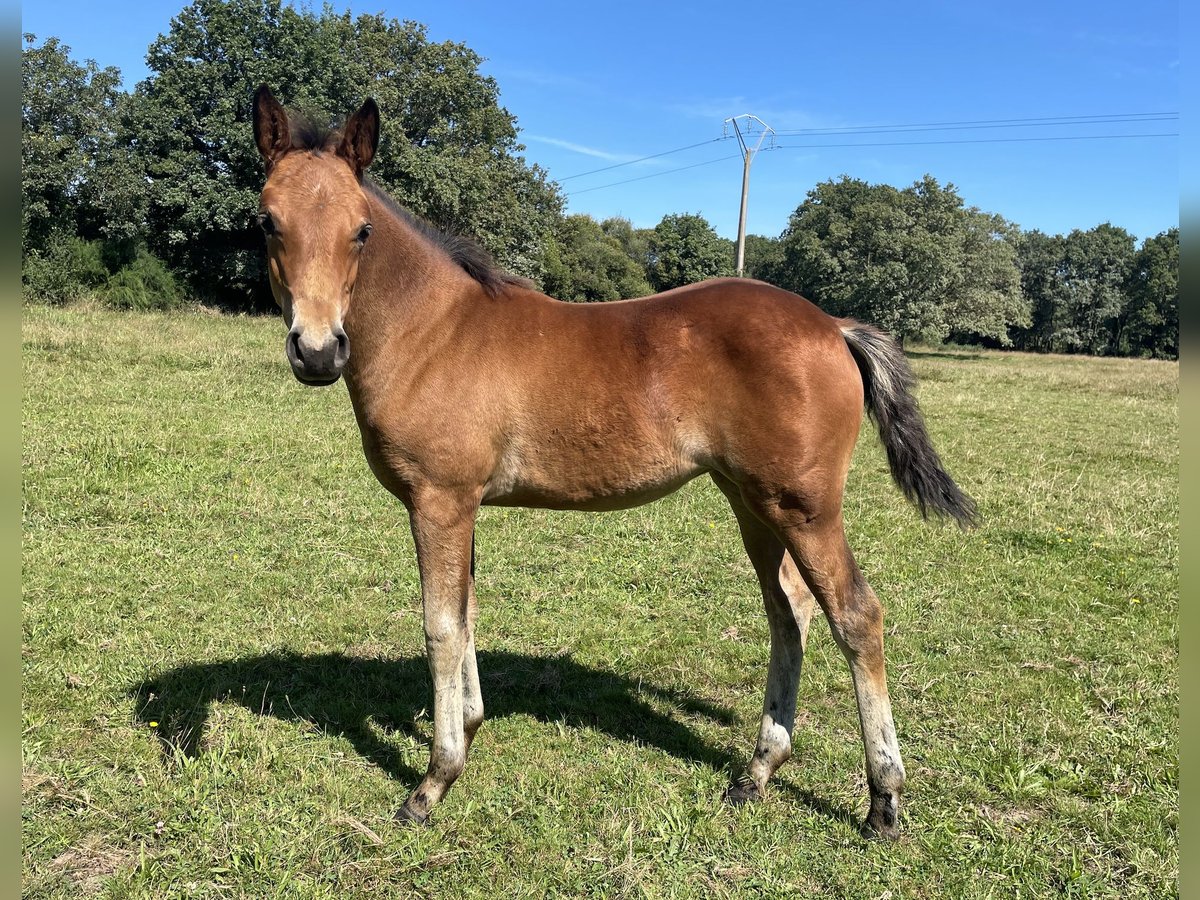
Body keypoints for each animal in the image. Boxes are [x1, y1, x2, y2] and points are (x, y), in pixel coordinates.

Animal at [253, 88, 974, 844]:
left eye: (362, 230)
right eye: (266, 221)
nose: (317, 351)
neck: (433, 331)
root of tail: (833, 326)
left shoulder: (439, 499)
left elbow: (441, 625)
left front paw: (434, 780)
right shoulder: (463, 505)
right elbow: (469, 611)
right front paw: (471, 729)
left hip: (804, 506)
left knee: (856, 616)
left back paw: (883, 800)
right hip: (754, 503)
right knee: (789, 613)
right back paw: (756, 773)